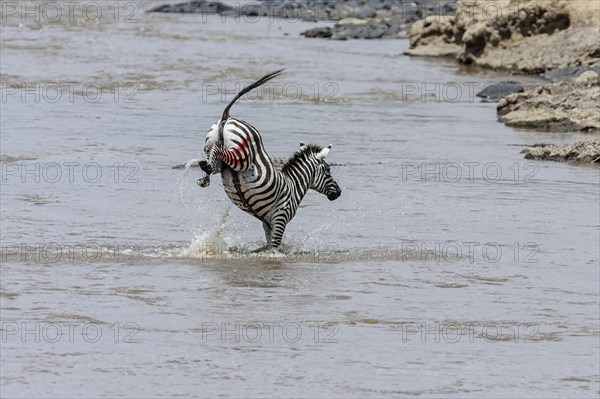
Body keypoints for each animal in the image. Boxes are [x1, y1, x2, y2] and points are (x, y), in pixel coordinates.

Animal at [195, 69, 340, 250]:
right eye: (328, 171)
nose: (339, 193)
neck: (294, 186)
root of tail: (227, 116)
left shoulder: (267, 224)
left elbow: (268, 245)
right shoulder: (280, 218)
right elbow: (275, 248)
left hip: (212, 148)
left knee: (212, 160)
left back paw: (204, 174)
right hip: (243, 156)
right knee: (223, 152)